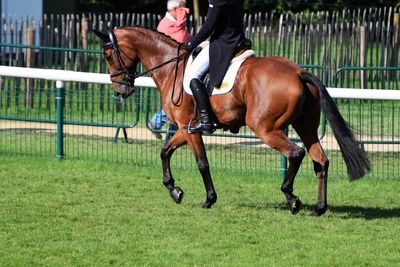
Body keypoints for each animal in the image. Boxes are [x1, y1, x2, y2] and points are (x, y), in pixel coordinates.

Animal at [93, 26, 368, 217]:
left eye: (108, 54)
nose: (120, 91)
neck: (172, 67)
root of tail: (298, 72)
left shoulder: (190, 130)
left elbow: (202, 163)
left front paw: (208, 199)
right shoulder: (185, 128)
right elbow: (164, 152)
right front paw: (175, 191)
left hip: (266, 128)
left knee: (295, 153)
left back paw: (291, 198)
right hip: (306, 127)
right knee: (320, 160)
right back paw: (319, 208)